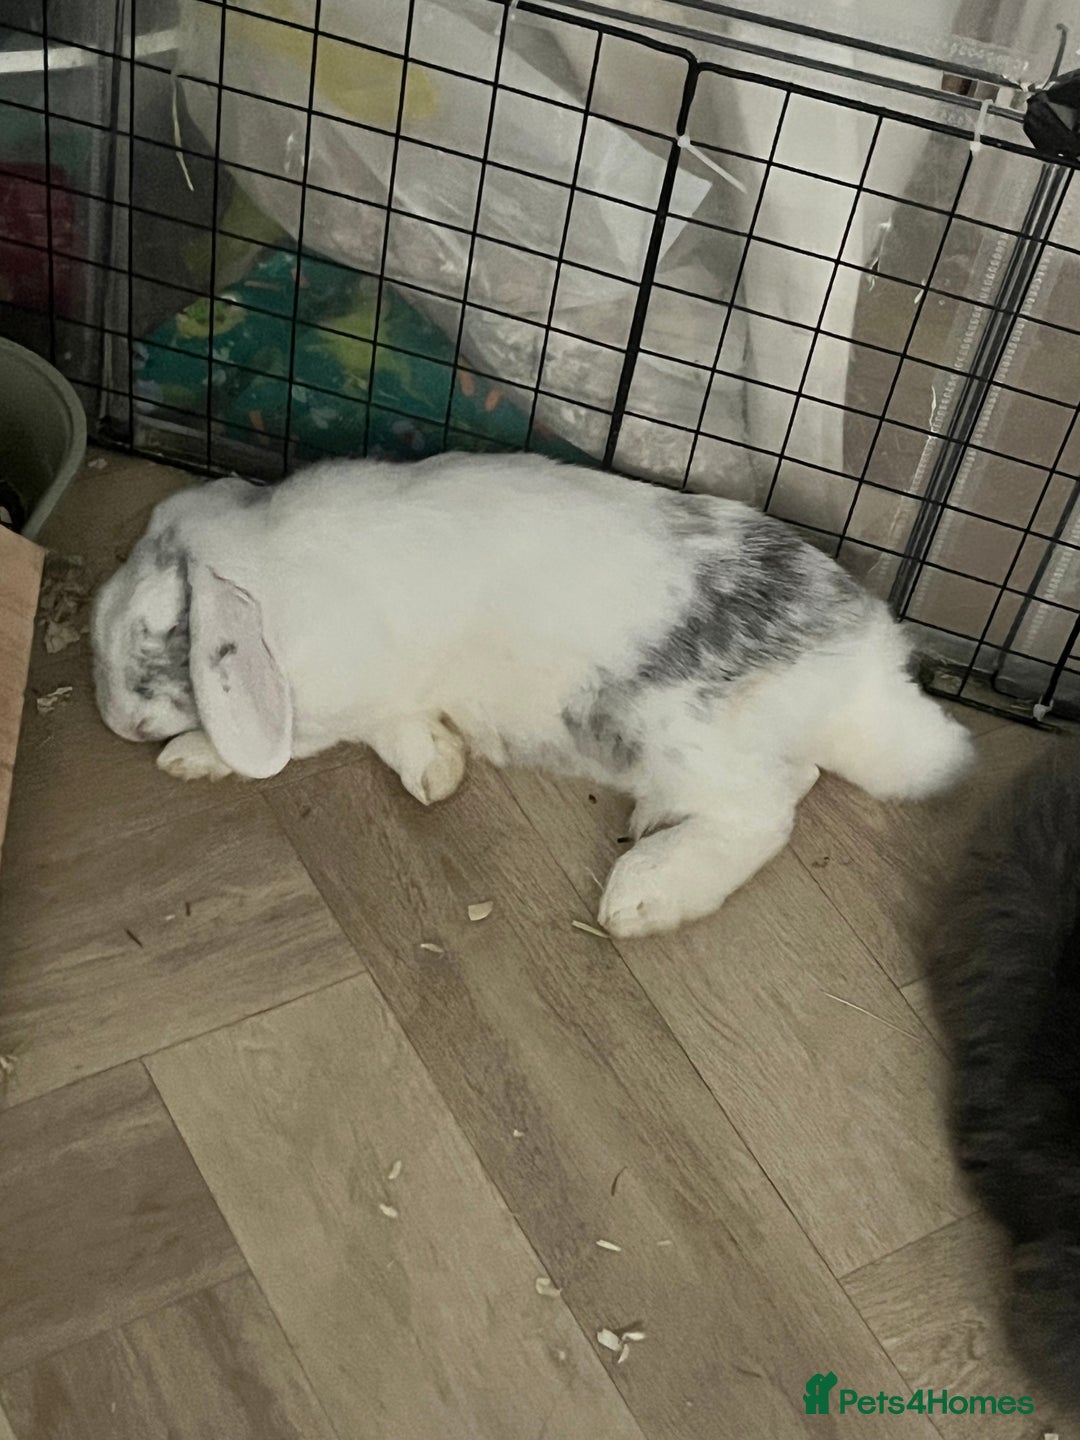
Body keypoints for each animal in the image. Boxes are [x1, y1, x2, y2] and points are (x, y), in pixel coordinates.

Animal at [92, 451, 973, 937]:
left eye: (155, 628)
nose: (116, 722)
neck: (263, 577)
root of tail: (868, 670)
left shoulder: (332, 700)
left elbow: (302, 741)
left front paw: (190, 754)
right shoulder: (392, 693)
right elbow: (406, 731)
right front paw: (437, 770)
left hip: (670, 731)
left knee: (770, 807)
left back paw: (645, 894)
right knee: (796, 780)